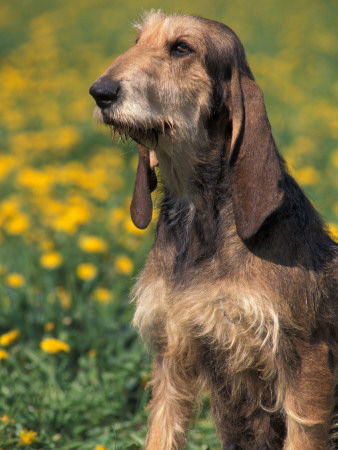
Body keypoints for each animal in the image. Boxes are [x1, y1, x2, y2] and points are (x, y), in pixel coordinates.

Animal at [90, 10, 338, 450]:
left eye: (181, 48)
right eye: (137, 41)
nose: (99, 92)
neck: (200, 215)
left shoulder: (308, 359)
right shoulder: (173, 350)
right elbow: (162, 430)